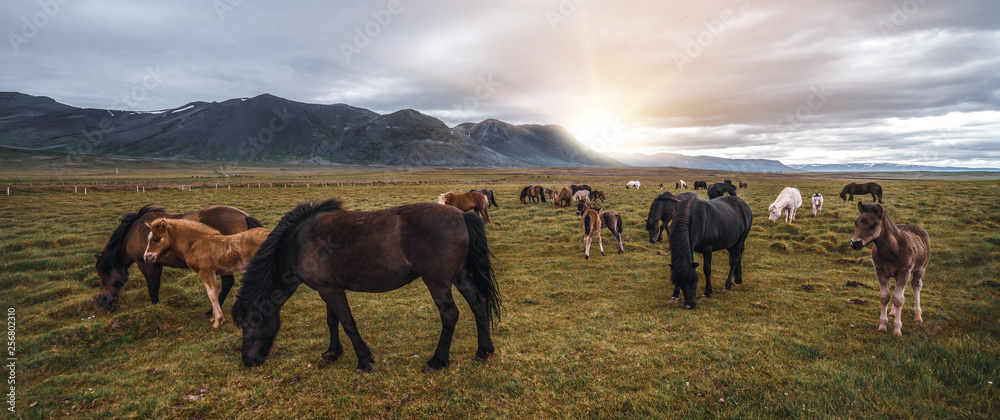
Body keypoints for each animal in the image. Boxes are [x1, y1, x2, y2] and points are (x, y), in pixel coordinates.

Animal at [94, 203, 262, 308]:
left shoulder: (146, 265)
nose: (101, 299)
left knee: (227, 283)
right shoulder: (156, 265)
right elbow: (156, 286)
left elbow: (152, 288)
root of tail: (244, 216)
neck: (134, 233)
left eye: (101, 274)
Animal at [231, 199, 504, 372]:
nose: (248, 361)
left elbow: (348, 323)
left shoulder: (330, 290)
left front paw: (363, 361)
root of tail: (461, 214)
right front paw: (332, 353)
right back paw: (483, 351)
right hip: (459, 276)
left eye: (248, 324)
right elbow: (333, 321)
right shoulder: (329, 288)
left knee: (450, 314)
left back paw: (437, 361)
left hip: (437, 282)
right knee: (478, 303)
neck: (299, 241)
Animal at [852, 202, 928, 336]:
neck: (891, 250)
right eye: (856, 222)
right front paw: (883, 326)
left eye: (873, 225)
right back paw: (892, 312)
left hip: (920, 270)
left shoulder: (905, 272)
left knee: (916, 286)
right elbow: (885, 296)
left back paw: (918, 316)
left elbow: (899, 299)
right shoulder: (880, 270)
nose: (854, 243)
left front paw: (897, 329)